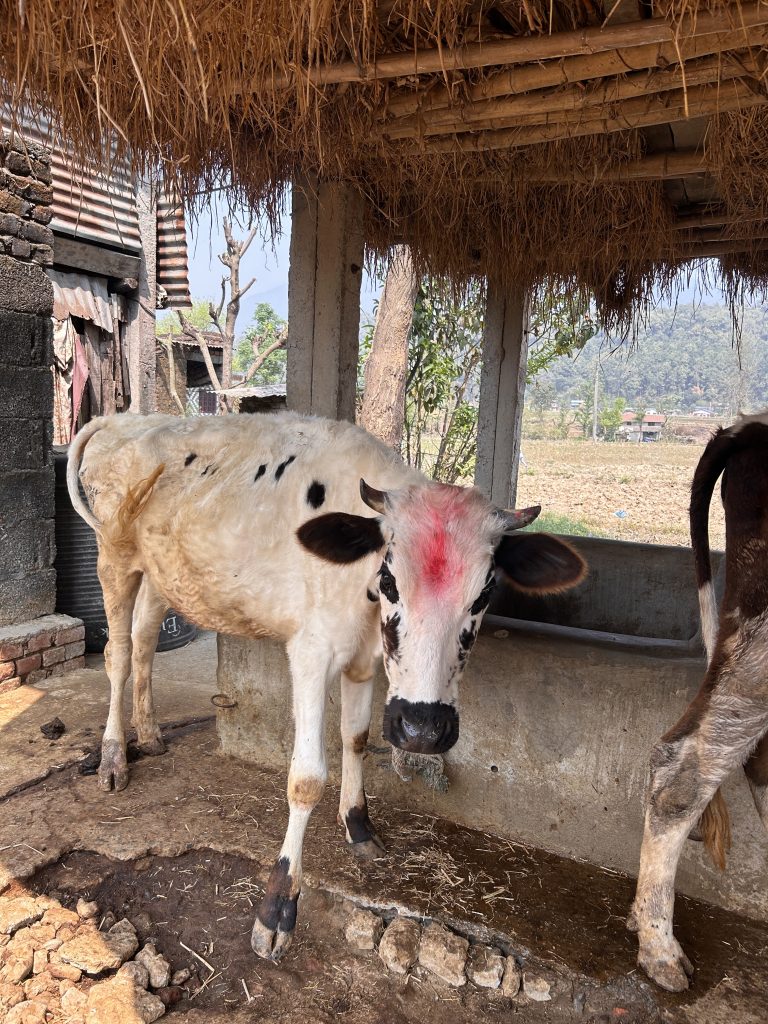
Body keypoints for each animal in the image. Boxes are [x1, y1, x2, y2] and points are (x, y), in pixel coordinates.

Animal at [68, 411, 586, 961]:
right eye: (390, 579)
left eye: (485, 592)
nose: (423, 729)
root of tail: (122, 418)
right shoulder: (312, 653)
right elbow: (307, 777)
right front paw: (277, 906)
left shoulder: (364, 661)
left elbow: (355, 739)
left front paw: (358, 825)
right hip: (114, 558)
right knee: (118, 654)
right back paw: (113, 757)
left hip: (161, 572)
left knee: (145, 641)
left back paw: (148, 734)